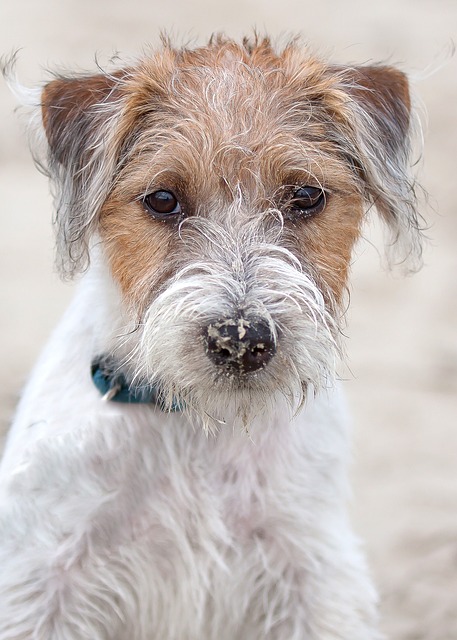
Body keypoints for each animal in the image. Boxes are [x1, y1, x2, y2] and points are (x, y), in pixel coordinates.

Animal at [0, 36, 420, 640]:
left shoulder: (314, 575)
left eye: (306, 196)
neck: (196, 427)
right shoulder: (40, 582)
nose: (241, 339)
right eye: (162, 200)